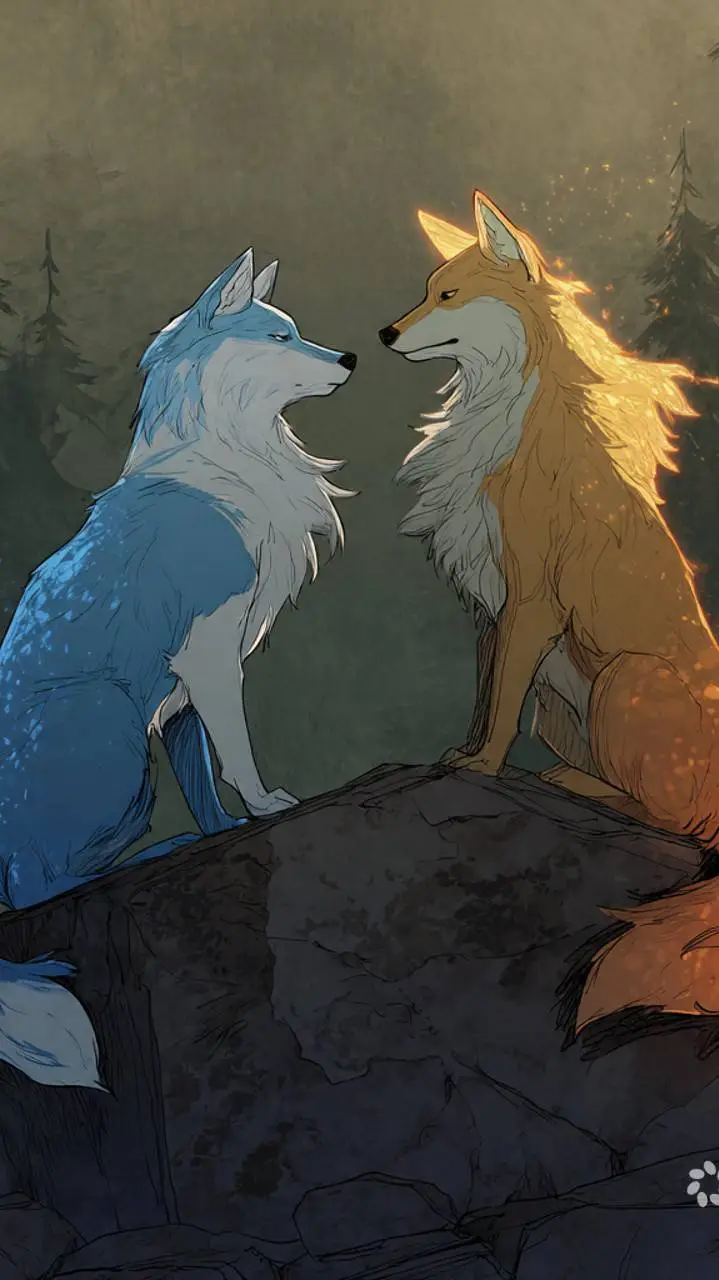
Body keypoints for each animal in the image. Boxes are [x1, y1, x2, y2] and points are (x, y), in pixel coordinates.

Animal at [0, 247, 356, 1088]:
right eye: (280, 335)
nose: (350, 358)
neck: (230, 460)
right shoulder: (211, 653)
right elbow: (240, 756)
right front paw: (267, 807)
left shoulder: (187, 693)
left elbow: (204, 782)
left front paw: (221, 833)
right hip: (109, 727)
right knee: (36, 889)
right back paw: (145, 854)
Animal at [380, 189, 719, 1033]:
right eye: (425, 289)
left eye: (448, 296)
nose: (385, 334)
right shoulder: (489, 609)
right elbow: (484, 701)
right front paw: (464, 758)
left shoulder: (532, 598)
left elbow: (500, 710)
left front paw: (485, 770)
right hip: (564, 707)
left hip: (626, 679)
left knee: (673, 820)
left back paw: (581, 789)